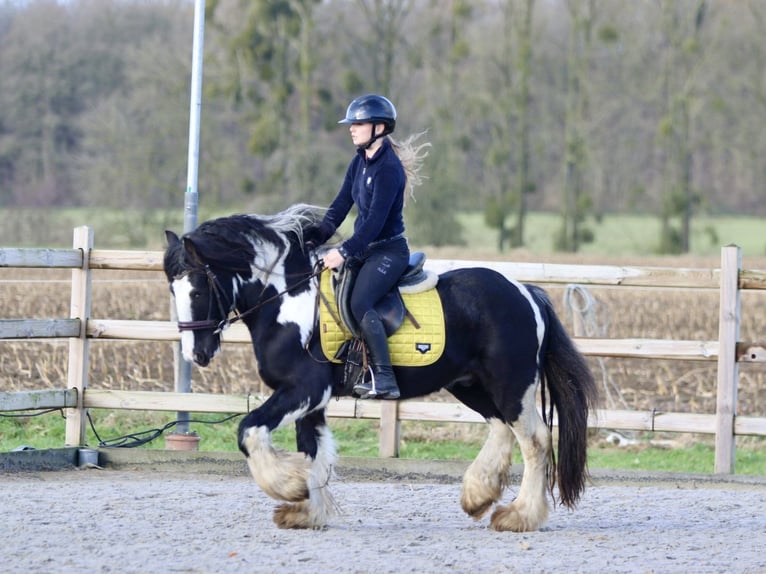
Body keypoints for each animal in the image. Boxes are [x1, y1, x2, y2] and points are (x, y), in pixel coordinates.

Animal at [164, 204, 600, 536]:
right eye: (173, 290)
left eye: (198, 290)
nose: (195, 354)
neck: (289, 302)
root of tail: (526, 292)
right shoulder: (312, 398)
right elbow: (313, 450)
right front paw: (306, 509)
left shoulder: (303, 388)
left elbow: (249, 430)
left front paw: (288, 487)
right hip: (470, 384)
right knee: (500, 428)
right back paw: (478, 495)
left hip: (512, 385)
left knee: (535, 440)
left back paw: (518, 516)